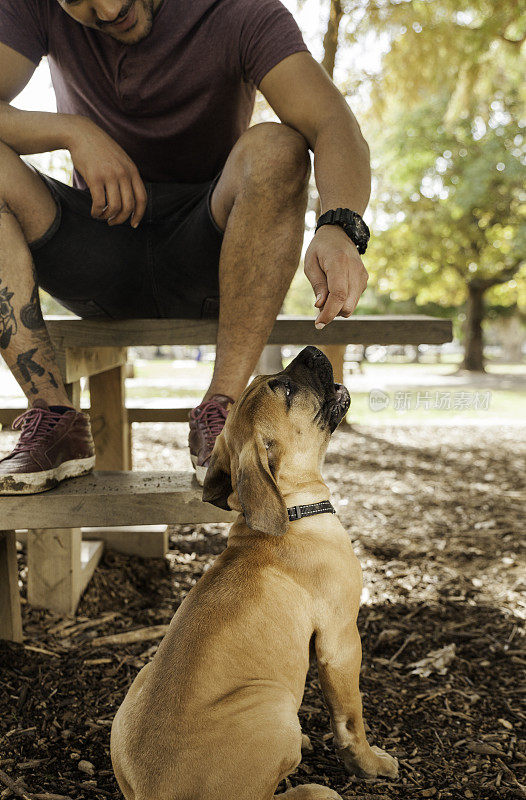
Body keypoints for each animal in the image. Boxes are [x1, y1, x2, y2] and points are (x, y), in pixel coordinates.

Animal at [111, 346, 400, 800]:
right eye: (284, 389)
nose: (312, 349)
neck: (292, 510)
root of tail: (155, 795)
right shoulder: (340, 641)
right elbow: (350, 718)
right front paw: (369, 765)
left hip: (137, 686)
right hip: (273, 705)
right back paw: (314, 789)